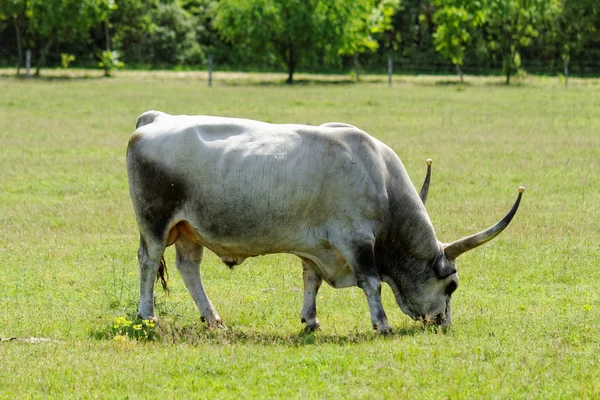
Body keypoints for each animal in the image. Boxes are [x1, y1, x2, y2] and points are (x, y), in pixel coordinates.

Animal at [127, 111, 524, 332]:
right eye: (452, 286)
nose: (443, 323)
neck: (380, 179)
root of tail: (155, 119)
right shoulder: (356, 240)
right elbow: (371, 283)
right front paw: (381, 324)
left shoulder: (316, 245)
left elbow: (311, 280)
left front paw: (311, 320)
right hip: (155, 222)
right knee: (148, 262)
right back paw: (148, 316)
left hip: (188, 229)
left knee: (189, 268)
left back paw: (213, 319)